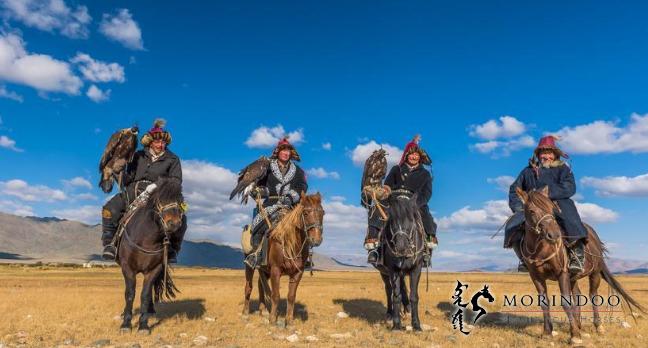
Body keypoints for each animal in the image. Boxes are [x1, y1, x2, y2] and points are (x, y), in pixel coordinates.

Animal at [114, 178, 184, 334]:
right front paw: (126, 324)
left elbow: (145, 295)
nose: (174, 223)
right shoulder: (127, 268)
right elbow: (129, 293)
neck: (146, 239)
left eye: (180, 199)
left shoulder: (155, 269)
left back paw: (151, 311)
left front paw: (143, 325)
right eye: (159, 199)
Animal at [243, 193, 324, 326]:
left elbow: (291, 296)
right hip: (249, 265)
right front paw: (272, 320)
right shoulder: (275, 270)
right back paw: (245, 313)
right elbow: (275, 295)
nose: (316, 239)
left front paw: (289, 321)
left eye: (323, 212)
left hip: (265, 270)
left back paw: (263, 311)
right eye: (306, 213)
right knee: (249, 287)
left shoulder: (298, 272)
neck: (291, 244)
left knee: (261, 285)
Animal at [372, 194, 428, 330]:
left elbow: (414, 296)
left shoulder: (416, 269)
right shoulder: (393, 270)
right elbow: (396, 295)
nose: (401, 247)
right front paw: (396, 324)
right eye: (392, 221)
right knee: (389, 290)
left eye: (412, 220)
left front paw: (416, 325)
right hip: (384, 272)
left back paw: (406, 309)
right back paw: (390, 314)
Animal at [512, 186, 644, 344]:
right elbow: (545, 302)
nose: (554, 235)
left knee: (592, 295)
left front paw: (574, 335)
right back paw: (578, 324)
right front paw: (547, 333)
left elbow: (566, 302)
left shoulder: (562, 273)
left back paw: (598, 326)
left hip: (594, 273)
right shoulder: (536, 276)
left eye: (552, 209)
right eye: (531, 211)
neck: (541, 249)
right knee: (578, 295)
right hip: (573, 277)